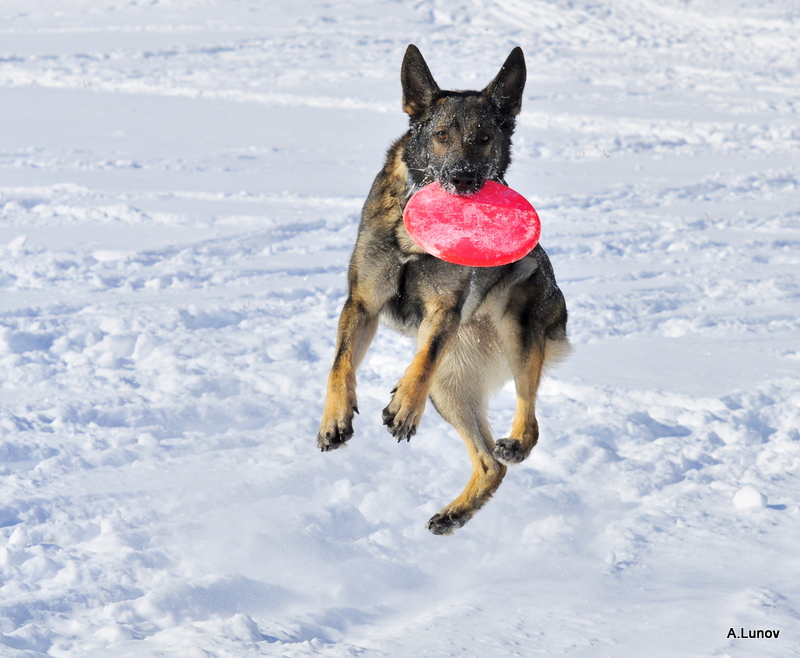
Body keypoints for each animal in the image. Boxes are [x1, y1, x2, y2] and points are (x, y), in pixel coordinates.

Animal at [316, 44, 572, 532]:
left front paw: (403, 408)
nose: (463, 178)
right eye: (440, 135)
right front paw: (335, 419)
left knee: (525, 423)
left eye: (485, 137)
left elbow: (424, 358)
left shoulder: (444, 312)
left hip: (516, 331)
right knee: (491, 466)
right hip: (450, 388)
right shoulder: (362, 304)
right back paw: (455, 513)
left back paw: (511, 443)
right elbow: (340, 364)